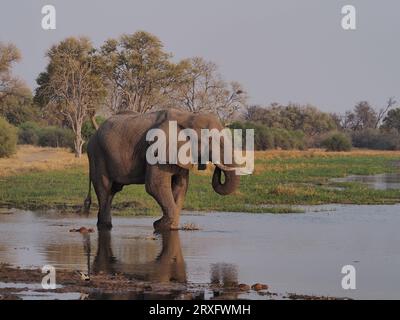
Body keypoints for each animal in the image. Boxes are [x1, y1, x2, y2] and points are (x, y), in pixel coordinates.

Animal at [84, 108, 239, 230]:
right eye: (210, 139)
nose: (217, 167)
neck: (187, 117)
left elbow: (180, 186)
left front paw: (170, 226)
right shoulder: (156, 150)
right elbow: (155, 186)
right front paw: (161, 226)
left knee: (112, 191)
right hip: (97, 154)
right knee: (104, 189)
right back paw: (105, 226)